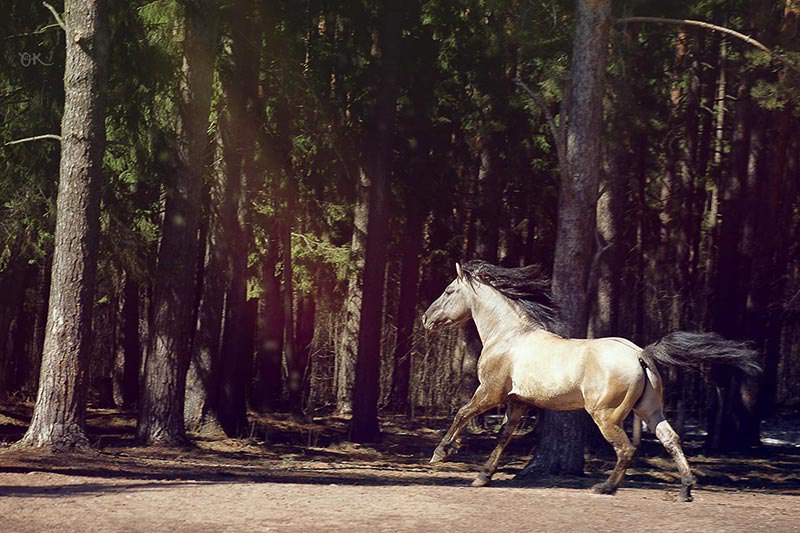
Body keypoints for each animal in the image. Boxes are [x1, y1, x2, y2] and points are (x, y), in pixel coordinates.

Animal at [422, 260, 760, 500]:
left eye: (449, 290)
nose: (425, 319)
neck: (509, 337)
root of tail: (640, 354)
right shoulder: (518, 402)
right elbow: (503, 437)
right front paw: (483, 476)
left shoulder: (490, 392)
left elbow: (462, 413)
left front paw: (442, 452)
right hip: (649, 410)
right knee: (670, 439)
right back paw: (686, 489)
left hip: (606, 415)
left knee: (626, 449)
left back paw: (605, 488)